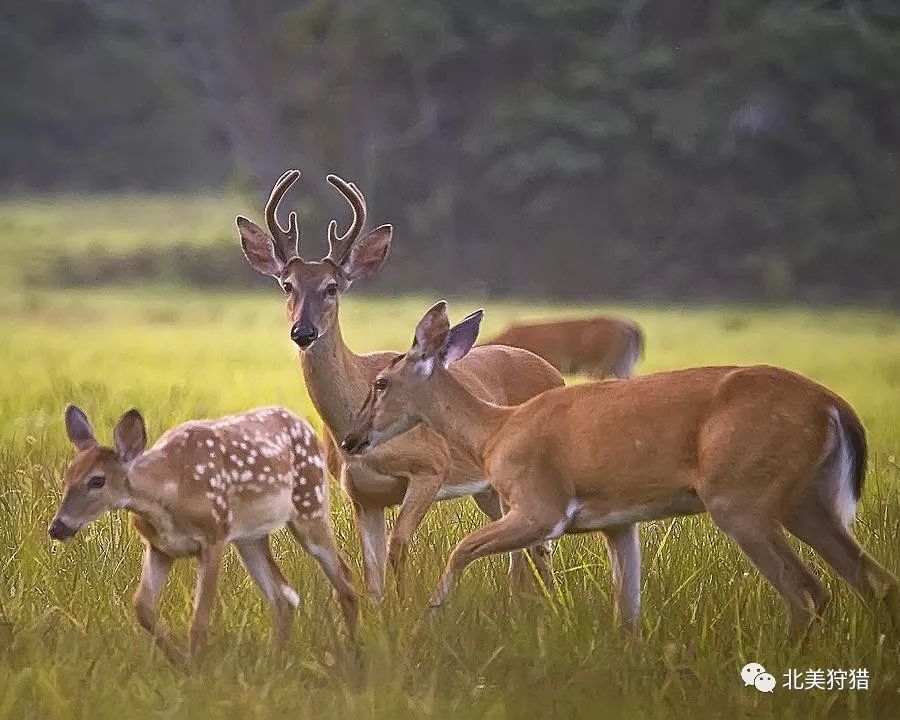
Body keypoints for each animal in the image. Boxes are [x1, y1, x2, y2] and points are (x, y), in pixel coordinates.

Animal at [49, 404, 358, 664]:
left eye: (97, 481)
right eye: (66, 477)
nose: (57, 527)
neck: (168, 494)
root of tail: (304, 423)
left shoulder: (214, 536)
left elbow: (199, 620)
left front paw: (194, 670)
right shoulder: (160, 547)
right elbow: (142, 607)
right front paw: (180, 663)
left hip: (310, 505)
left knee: (344, 581)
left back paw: (353, 655)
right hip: (249, 538)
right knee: (284, 599)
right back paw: (272, 662)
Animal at [236, 170, 568, 600]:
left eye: (332, 286)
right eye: (286, 284)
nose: (303, 331)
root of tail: (553, 372)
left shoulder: (431, 467)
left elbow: (399, 546)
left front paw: (406, 606)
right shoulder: (361, 496)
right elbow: (371, 572)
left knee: (540, 547)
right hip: (490, 489)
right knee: (523, 550)